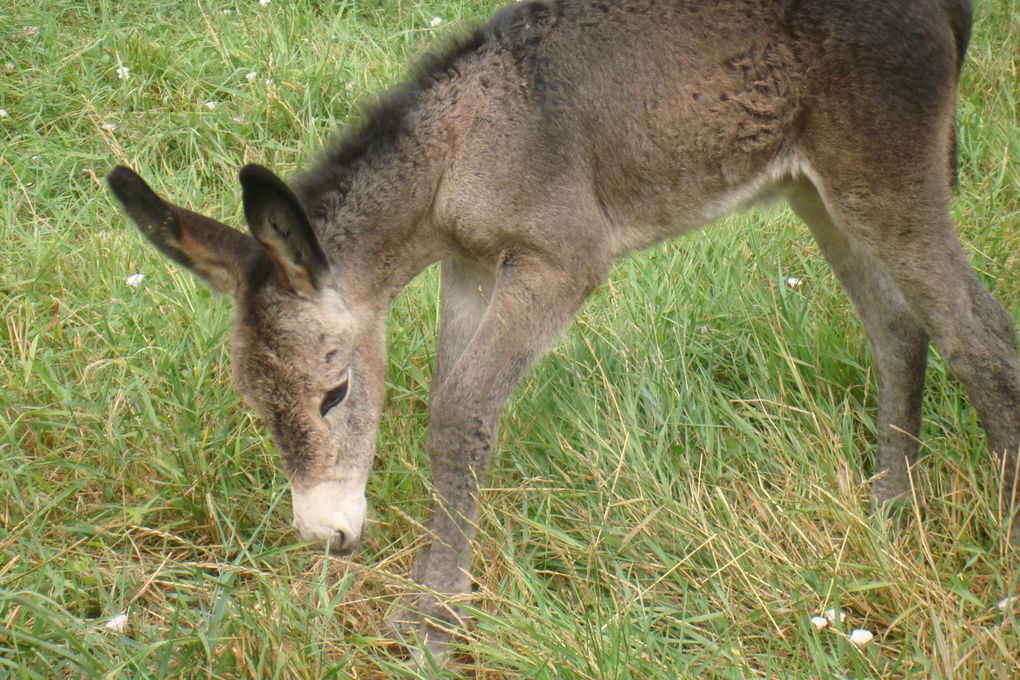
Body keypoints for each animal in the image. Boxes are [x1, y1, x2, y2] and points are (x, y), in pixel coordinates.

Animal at [107, 0, 1015, 660]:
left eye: (334, 393)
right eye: (257, 411)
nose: (325, 537)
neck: (457, 153)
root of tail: (946, 7)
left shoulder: (567, 257)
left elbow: (461, 414)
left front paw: (434, 622)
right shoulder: (472, 267)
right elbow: (448, 406)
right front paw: (428, 600)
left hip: (886, 171)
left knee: (981, 336)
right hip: (814, 188)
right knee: (899, 327)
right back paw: (889, 507)